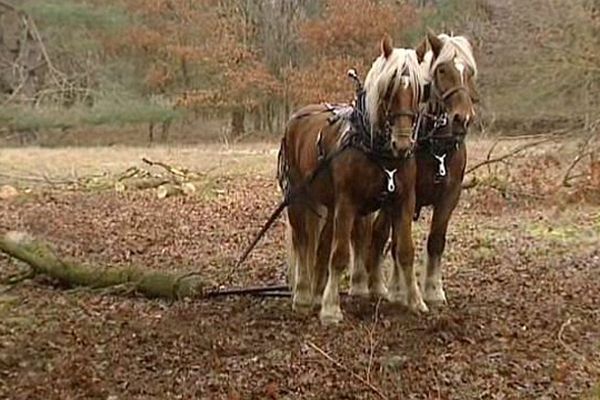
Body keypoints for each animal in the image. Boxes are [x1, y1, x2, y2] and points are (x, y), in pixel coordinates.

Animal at [278, 32, 428, 324]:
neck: (377, 150)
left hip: (327, 203)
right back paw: (303, 295)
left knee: (320, 246)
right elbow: (339, 255)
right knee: (303, 242)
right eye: (389, 88)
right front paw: (331, 309)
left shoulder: (403, 200)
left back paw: (316, 292)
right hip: (298, 199)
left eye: (418, 90)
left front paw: (416, 301)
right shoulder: (347, 203)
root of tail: (296, 118)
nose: (403, 144)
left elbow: (405, 251)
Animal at [354, 30, 480, 306]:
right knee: (375, 235)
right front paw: (400, 290)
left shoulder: (450, 195)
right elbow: (396, 242)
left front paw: (433, 290)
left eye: (469, 72)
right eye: (442, 70)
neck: (436, 145)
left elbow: (435, 241)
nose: (462, 118)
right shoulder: (404, 194)